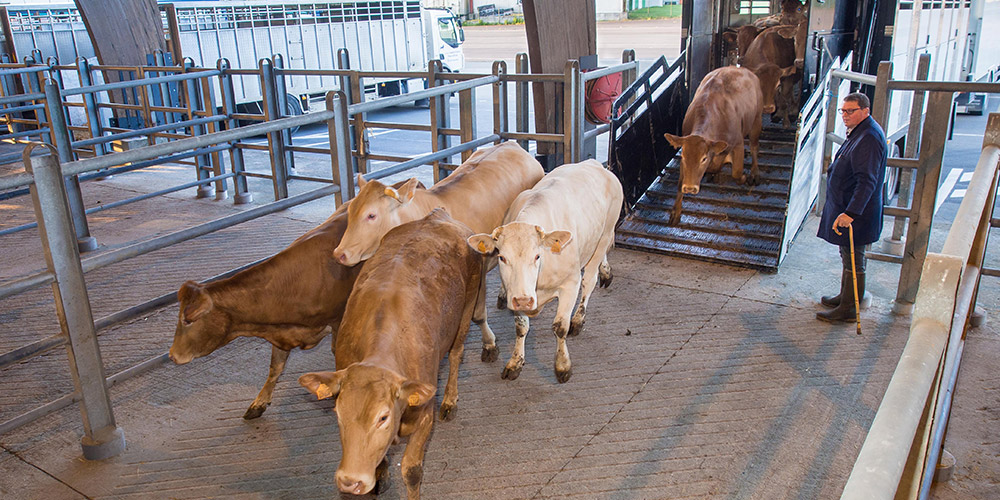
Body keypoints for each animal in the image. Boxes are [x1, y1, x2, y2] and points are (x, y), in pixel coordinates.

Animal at [296, 209, 484, 500]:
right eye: (338, 413)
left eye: (383, 417)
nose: (350, 481)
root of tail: (437, 216)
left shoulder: (425, 417)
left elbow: (412, 471)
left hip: (466, 309)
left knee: (456, 354)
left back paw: (450, 400)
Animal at [466, 160, 620, 382]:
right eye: (502, 257)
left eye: (537, 256)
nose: (524, 300)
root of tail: (593, 163)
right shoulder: (518, 292)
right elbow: (521, 327)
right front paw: (515, 362)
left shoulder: (570, 284)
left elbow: (560, 328)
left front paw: (562, 366)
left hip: (605, 232)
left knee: (589, 280)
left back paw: (579, 318)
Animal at [664, 66, 764, 225]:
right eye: (684, 156)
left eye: (703, 158)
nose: (690, 188)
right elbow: (680, 182)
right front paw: (675, 212)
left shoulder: (738, 143)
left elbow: (736, 172)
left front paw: (743, 177)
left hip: (756, 120)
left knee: (754, 146)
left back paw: (754, 173)